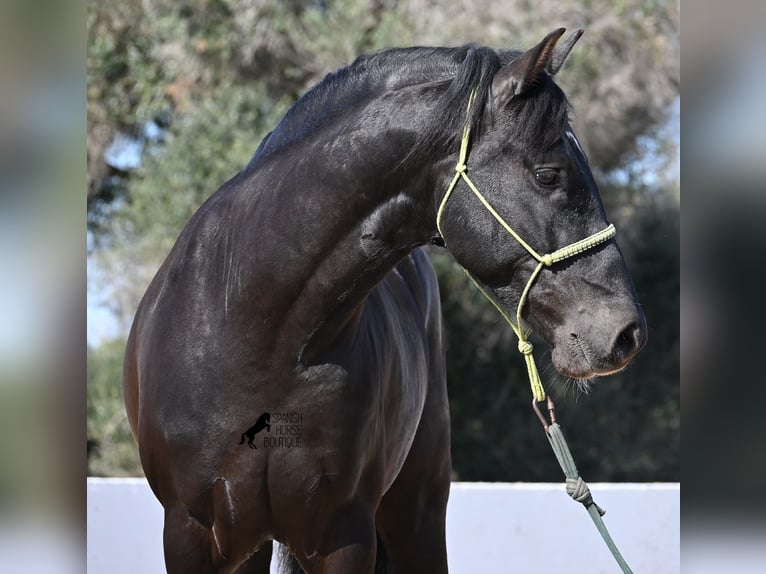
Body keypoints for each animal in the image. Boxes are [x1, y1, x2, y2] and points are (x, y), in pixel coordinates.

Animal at [124, 28, 648, 574]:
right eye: (548, 175)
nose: (626, 333)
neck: (254, 329)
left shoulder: (343, 532)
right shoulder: (191, 532)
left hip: (417, 509)